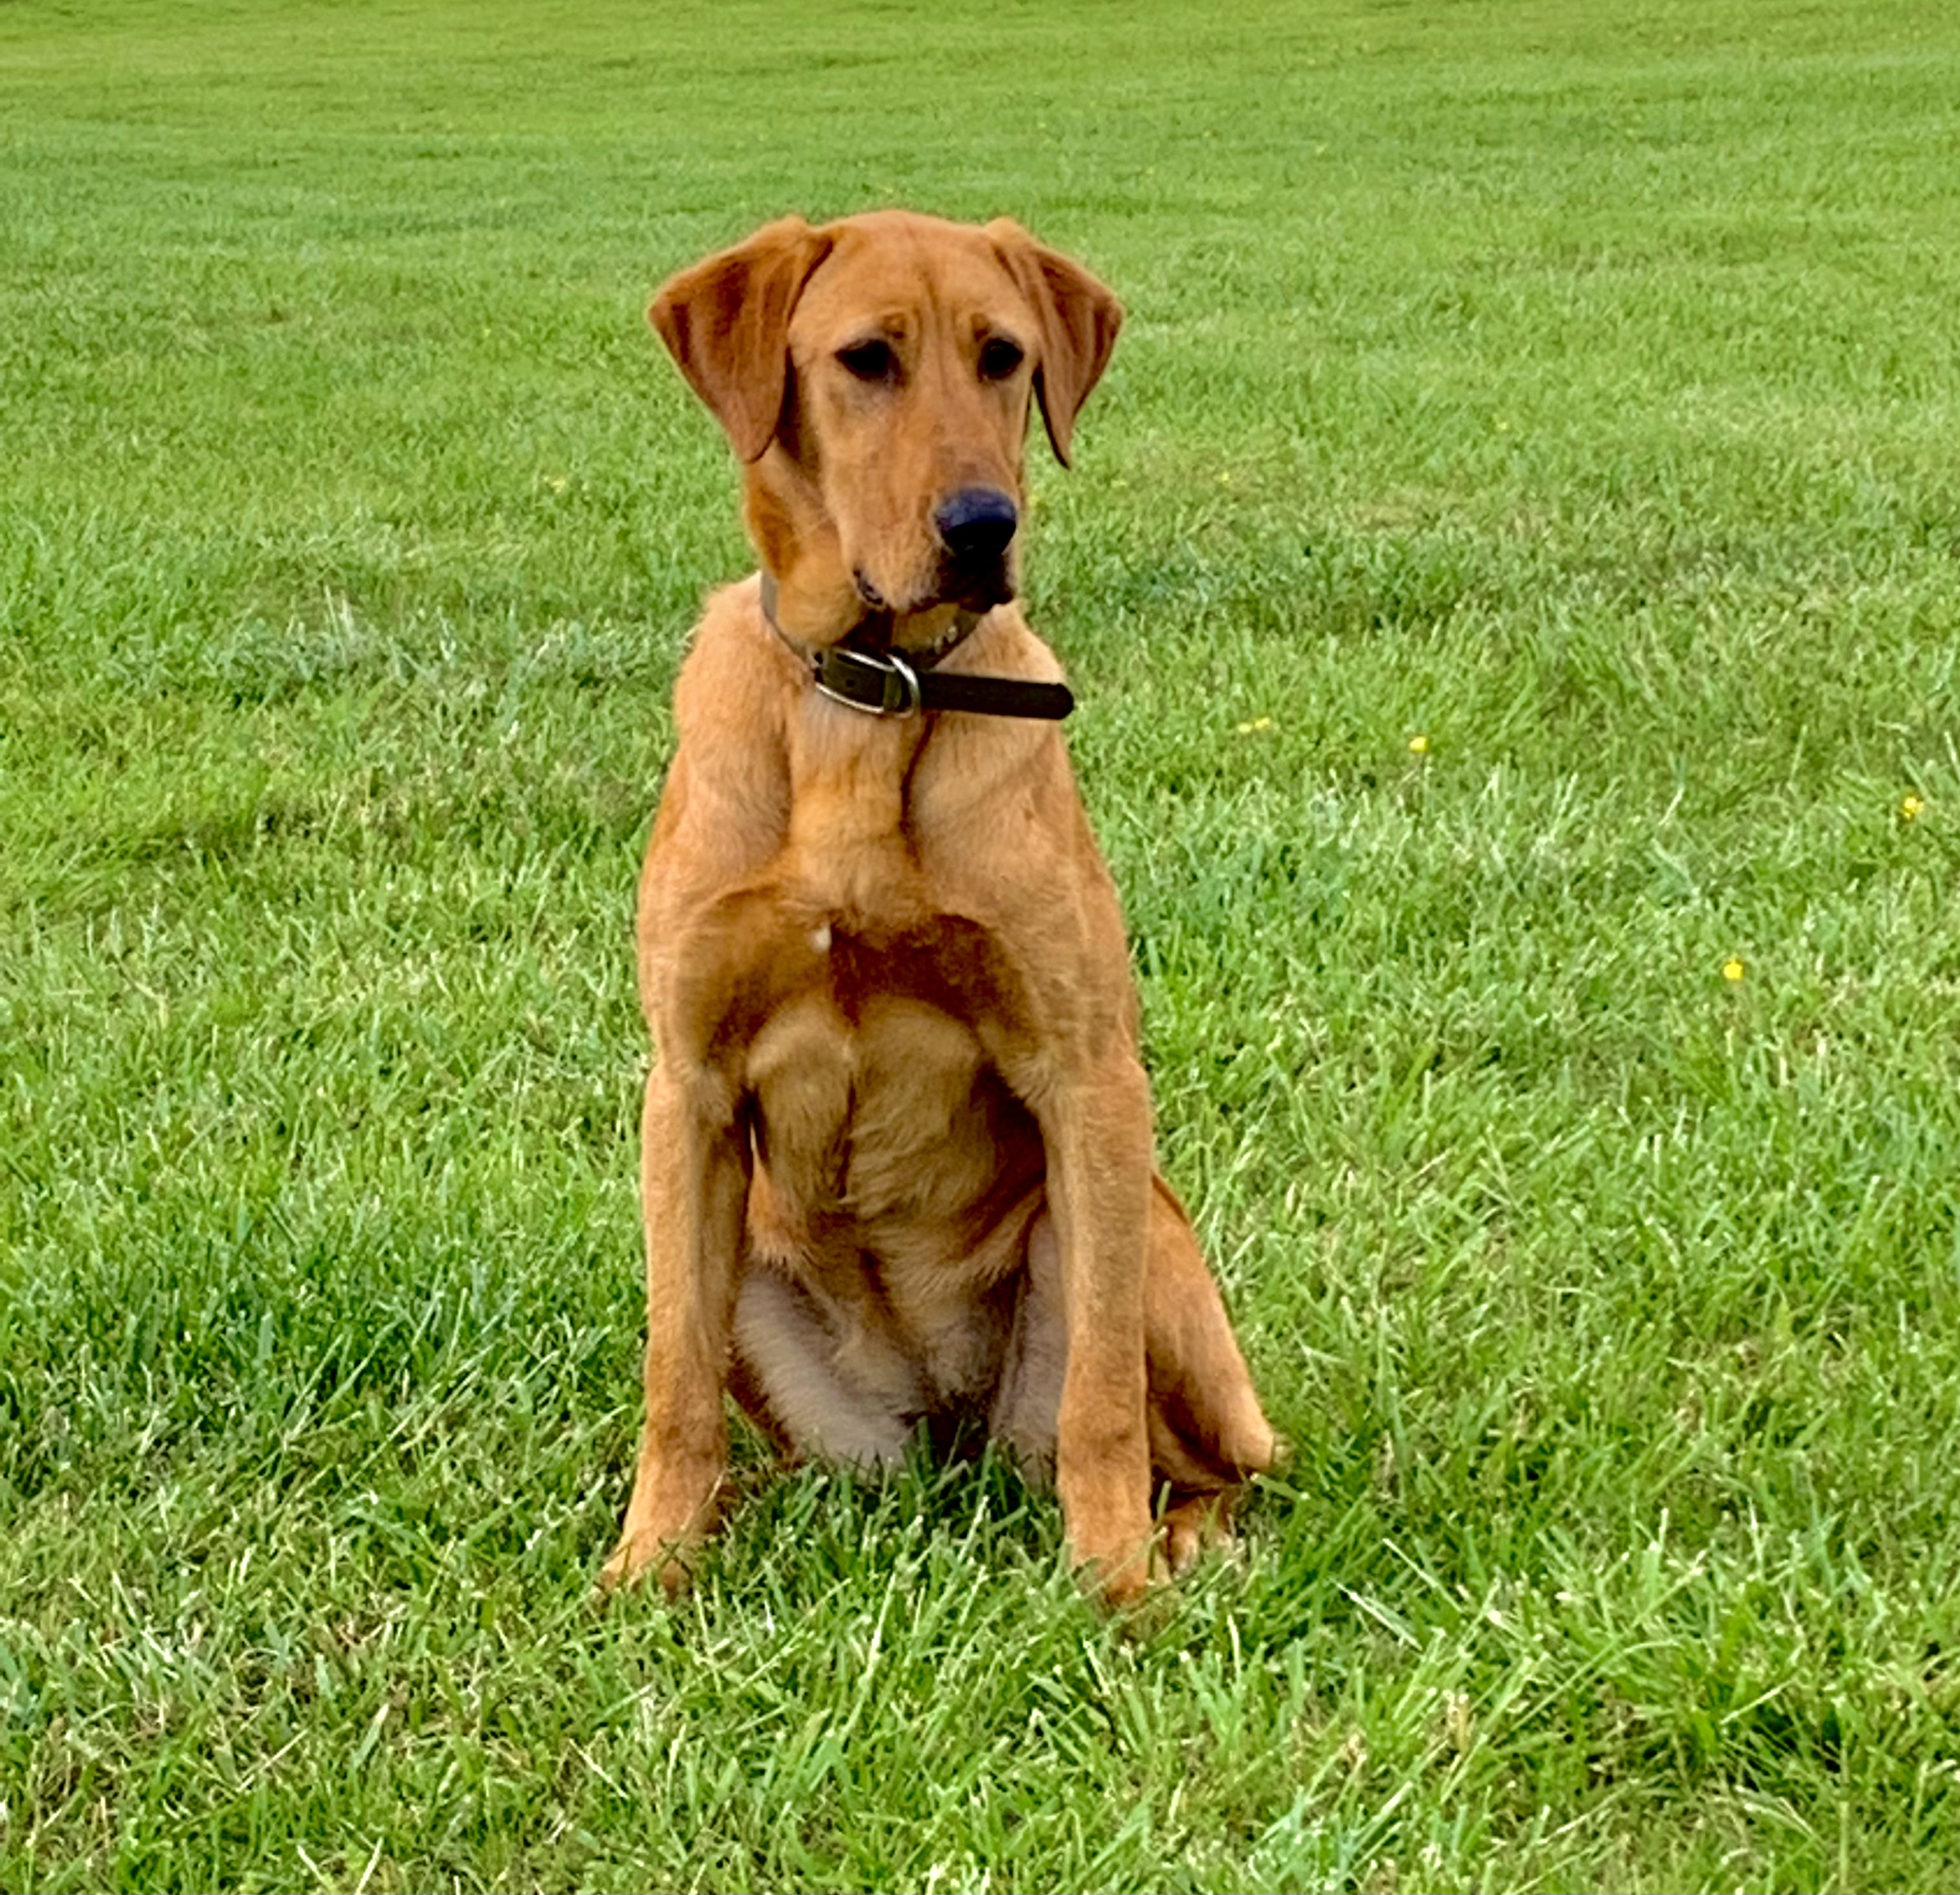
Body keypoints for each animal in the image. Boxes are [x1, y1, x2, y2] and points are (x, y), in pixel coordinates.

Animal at [603, 211, 1270, 1599]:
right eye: (866, 359)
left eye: (1001, 356)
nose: (980, 523)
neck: (871, 701)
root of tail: (950, 1431)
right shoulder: (686, 1091)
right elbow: (671, 1376)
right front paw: (647, 1566)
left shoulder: (1087, 1074)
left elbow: (1100, 1404)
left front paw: (1115, 1583)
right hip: (768, 1293)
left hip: (1136, 1240)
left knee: (1214, 1455)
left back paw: (1180, 1535)